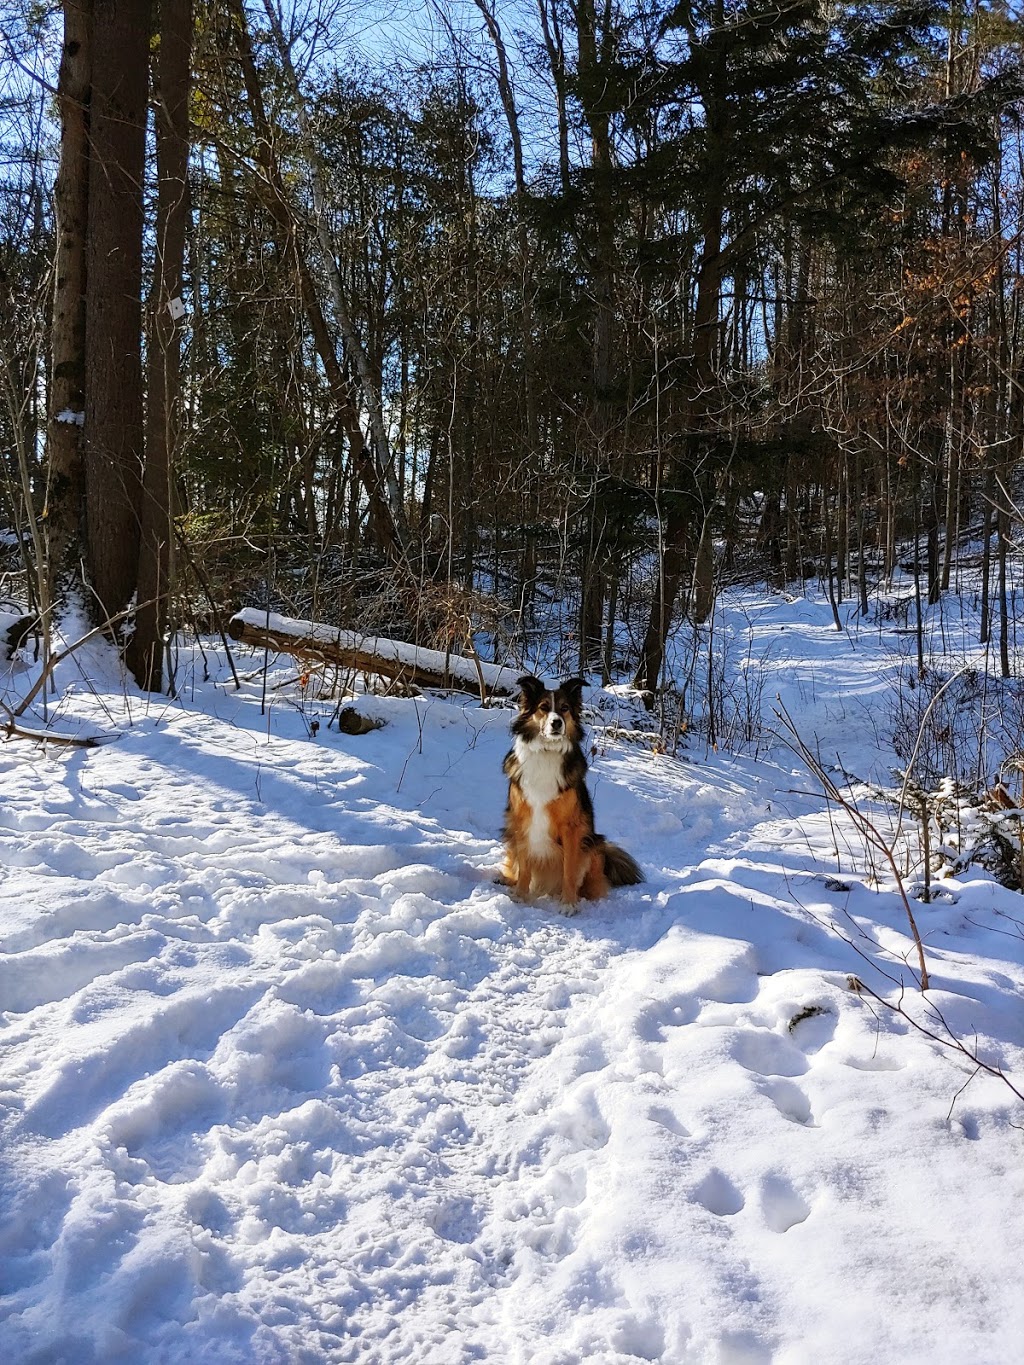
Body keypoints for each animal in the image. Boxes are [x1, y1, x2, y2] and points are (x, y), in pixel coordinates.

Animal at [502, 674, 644, 911]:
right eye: (543, 707)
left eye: (565, 708)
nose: (557, 722)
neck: (547, 750)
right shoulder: (522, 820)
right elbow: (524, 866)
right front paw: (520, 896)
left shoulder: (572, 828)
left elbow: (569, 870)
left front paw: (568, 905)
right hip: (510, 836)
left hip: (593, 844)